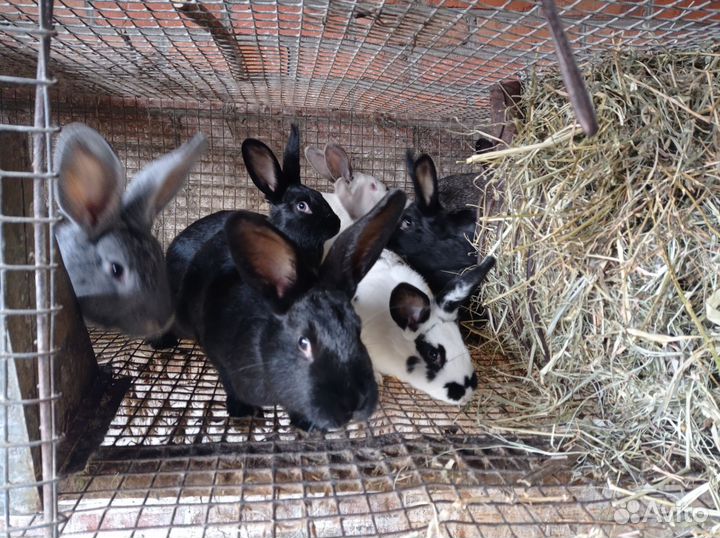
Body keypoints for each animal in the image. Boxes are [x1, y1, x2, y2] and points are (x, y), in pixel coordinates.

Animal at [168, 190, 407, 431]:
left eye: (358, 330)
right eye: (303, 342)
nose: (354, 405)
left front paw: (306, 424)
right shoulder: (219, 357)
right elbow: (229, 384)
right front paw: (242, 411)